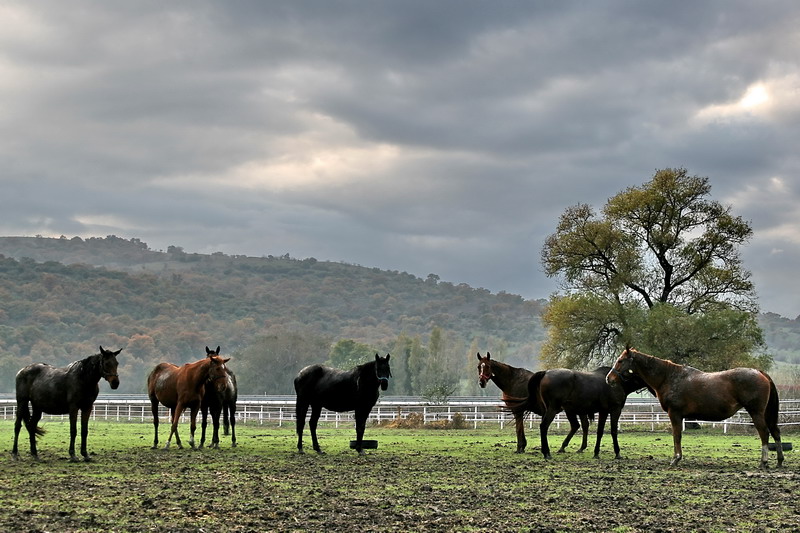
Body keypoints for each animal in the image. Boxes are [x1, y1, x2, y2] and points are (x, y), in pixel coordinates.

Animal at [608, 344, 780, 466]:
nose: (608, 378)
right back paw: (779, 461)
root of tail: (760, 373)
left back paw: (764, 462)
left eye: (620, 361)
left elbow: (676, 435)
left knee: (764, 433)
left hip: (756, 412)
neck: (668, 377)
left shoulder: (675, 414)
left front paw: (676, 458)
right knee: (775, 432)